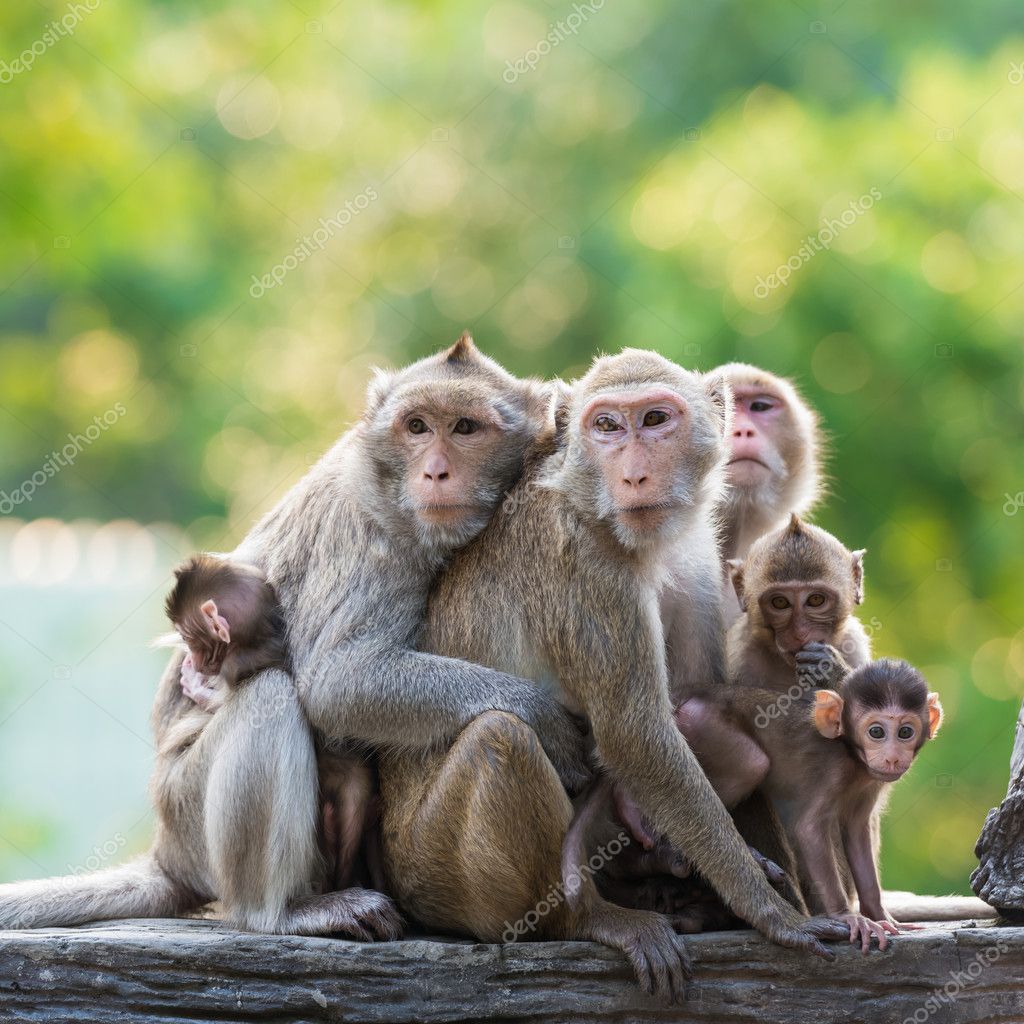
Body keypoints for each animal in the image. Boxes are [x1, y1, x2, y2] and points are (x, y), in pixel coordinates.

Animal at [0, 335, 589, 942]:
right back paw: (277, 912)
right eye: (418, 426)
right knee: (270, 696)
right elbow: (338, 682)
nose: (435, 472)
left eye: (466, 428)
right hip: (188, 813)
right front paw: (546, 720)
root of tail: (166, 852)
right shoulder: (370, 535)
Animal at [376, 348, 847, 1003]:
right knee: (502, 739)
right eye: (606, 427)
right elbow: (636, 735)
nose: (634, 476)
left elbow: (707, 708)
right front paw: (776, 916)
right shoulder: (585, 565)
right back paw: (591, 919)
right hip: (431, 874)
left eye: (654, 419)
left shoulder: (698, 554)